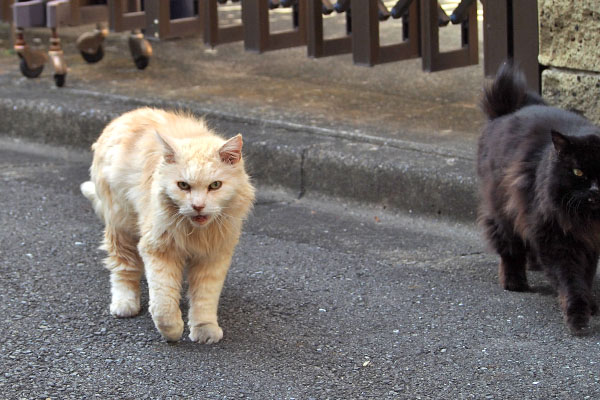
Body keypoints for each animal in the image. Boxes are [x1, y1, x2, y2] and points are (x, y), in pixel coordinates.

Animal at [80, 107, 255, 344]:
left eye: (215, 185)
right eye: (183, 185)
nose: (198, 206)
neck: (196, 232)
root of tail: (129, 114)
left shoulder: (214, 256)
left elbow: (205, 298)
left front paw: (205, 329)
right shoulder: (158, 249)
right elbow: (163, 302)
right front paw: (171, 330)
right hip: (121, 225)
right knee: (123, 269)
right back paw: (125, 303)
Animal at [478, 62, 600, 332]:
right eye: (578, 172)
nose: (596, 189)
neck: (589, 219)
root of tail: (507, 111)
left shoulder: (589, 242)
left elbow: (586, 276)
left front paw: (591, 304)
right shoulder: (557, 239)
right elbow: (571, 280)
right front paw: (578, 316)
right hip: (504, 210)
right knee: (510, 250)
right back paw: (515, 282)